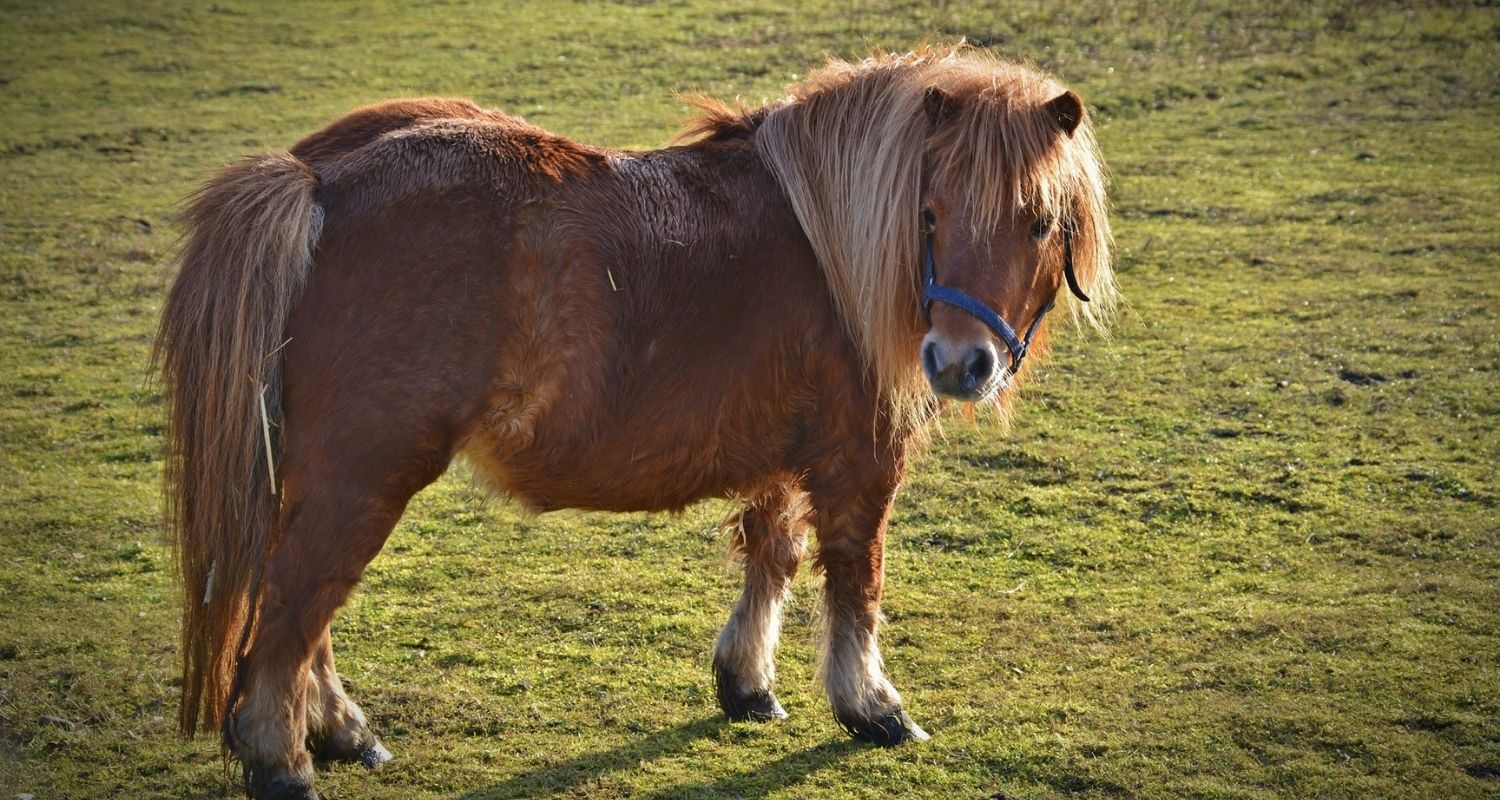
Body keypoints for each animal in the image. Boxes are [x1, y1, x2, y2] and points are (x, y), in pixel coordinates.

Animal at [155, 45, 1116, 798]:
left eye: (1039, 222)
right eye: (929, 214)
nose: (960, 364)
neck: (830, 246)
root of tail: (315, 179)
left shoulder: (782, 452)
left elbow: (772, 554)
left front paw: (746, 685)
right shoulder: (860, 457)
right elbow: (855, 579)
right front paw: (871, 706)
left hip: (328, 477)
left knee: (302, 609)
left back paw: (342, 733)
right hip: (364, 475)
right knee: (294, 609)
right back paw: (282, 760)